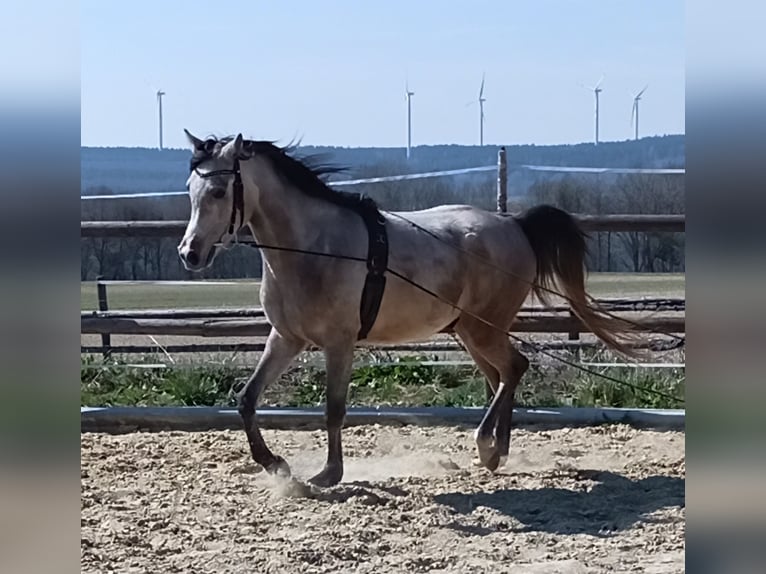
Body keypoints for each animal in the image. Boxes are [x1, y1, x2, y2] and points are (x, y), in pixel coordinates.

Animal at [177, 130, 636, 487]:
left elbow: (333, 408)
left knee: (513, 369)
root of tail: (514, 224)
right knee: (501, 375)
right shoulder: (287, 338)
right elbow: (247, 399)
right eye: (190, 192)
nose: (189, 254)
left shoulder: (339, 343)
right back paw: (496, 451)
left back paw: (488, 447)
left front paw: (328, 474)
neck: (313, 247)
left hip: (483, 328)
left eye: (218, 191)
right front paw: (275, 464)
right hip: (471, 332)